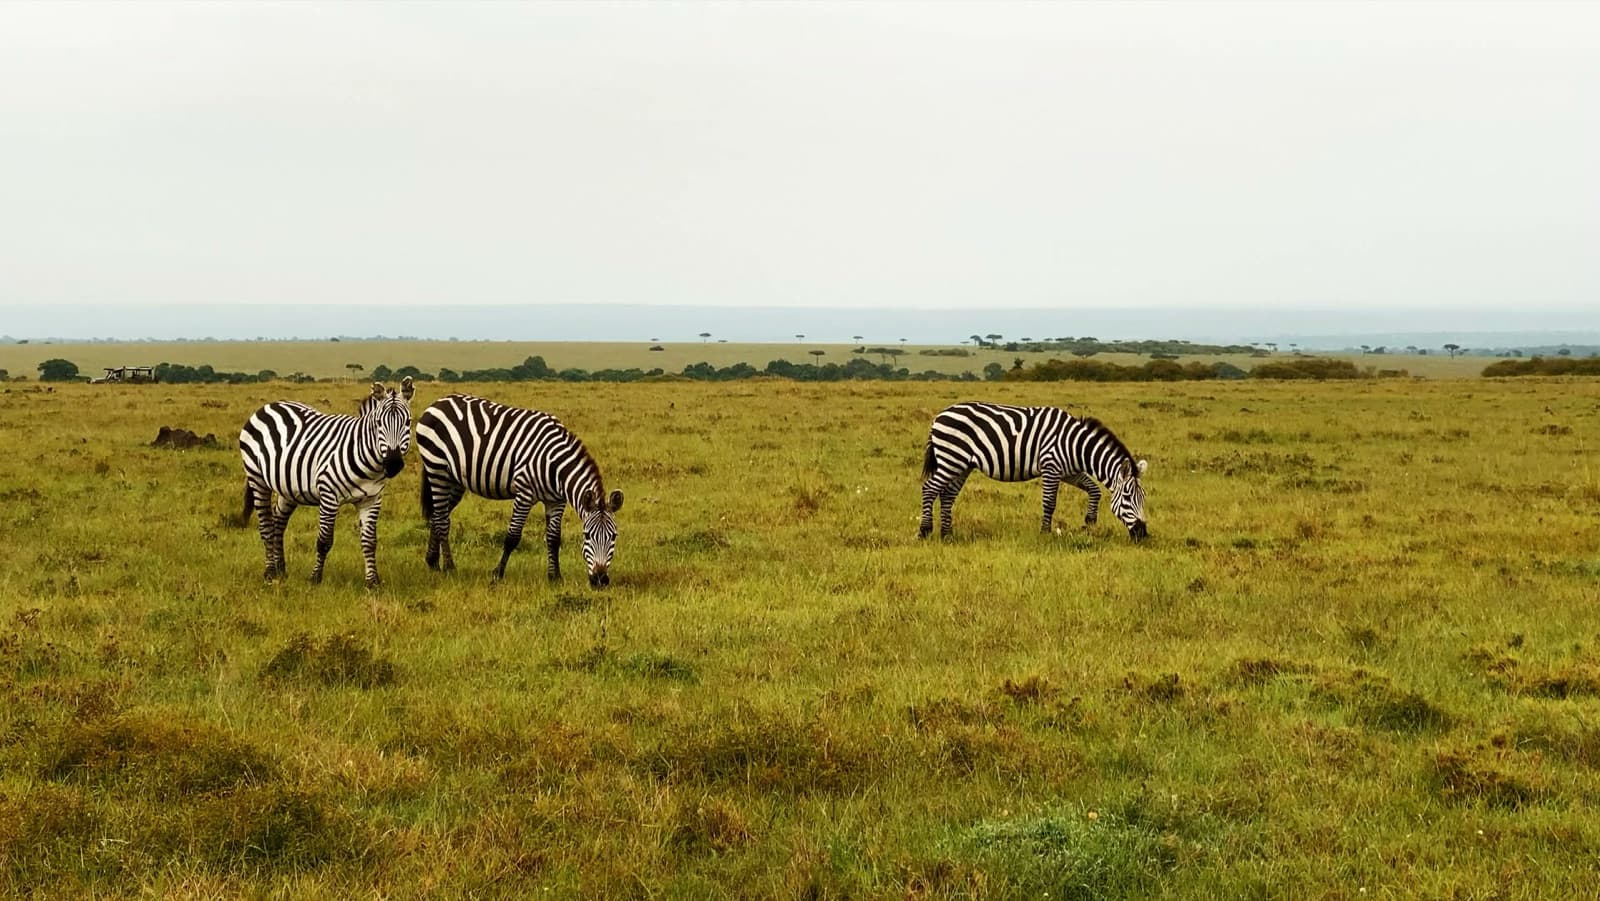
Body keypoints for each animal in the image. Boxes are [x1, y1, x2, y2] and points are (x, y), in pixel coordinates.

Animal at [238, 378, 415, 587]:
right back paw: (270, 572)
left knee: (278, 521)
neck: (369, 464)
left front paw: (372, 582)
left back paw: (281, 569)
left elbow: (370, 541)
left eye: (408, 422)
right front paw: (315, 578)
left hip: (288, 487)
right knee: (266, 525)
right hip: (257, 478)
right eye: (379, 423)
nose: (393, 463)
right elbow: (324, 541)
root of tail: (268, 406)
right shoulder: (329, 494)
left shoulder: (372, 499)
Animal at [414, 394, 623, 588]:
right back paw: (449, 567)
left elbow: (554, 539)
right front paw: (497, 574)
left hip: (454, 480)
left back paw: (433, 562)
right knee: (442, 520)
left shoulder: (556, 501)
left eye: (614, 536)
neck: (554, 466)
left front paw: (555, 577)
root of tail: (438, 402)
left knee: (438, 515)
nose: (600, 580)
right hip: (437, 469)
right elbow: (512, 537)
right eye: (587, 535)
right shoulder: (524, 493)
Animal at [918, 401, 1149, 541]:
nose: (1143, 533)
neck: (1076, 445)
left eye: (1143, 498)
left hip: (961, 464)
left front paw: (1089, 522)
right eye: (1127, 497)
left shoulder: (1069, 471)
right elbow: (1049, 502)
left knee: (947, 495)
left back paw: (947, 534)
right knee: (929, 488)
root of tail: (939, 416)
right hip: (951, 458)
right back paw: (925, 530)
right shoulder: (1051, 467)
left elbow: (1095, 490)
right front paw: (1045, 533)